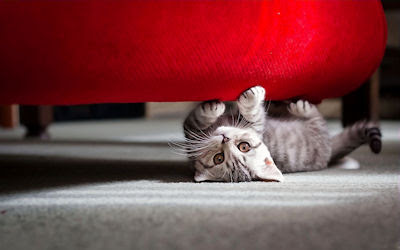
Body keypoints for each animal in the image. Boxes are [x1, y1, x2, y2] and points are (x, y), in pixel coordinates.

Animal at [177, 86, 382, 182]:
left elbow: (253, 114)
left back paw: (298, 106)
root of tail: (329, 151)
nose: (224, 138)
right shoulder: (192, 133)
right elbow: (196, 120)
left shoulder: (256, 124)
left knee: (315, 118)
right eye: (219, 158)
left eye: (244, 147)